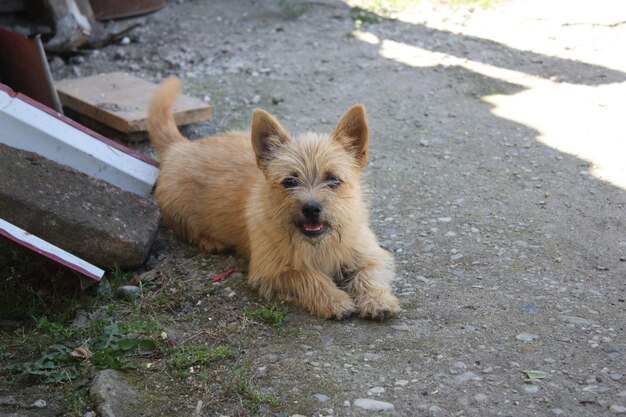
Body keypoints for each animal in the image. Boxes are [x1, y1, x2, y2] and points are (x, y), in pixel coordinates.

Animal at [149, 77, 398, 318]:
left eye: (333, 179)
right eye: (289, 181)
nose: (311, 208)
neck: (317, 244)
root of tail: (181, 146)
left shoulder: (369, 255)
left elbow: (368, 275)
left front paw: (378, 300)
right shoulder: (270, 272)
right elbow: (308, 276)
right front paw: (334, 300)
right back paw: (211, 241)